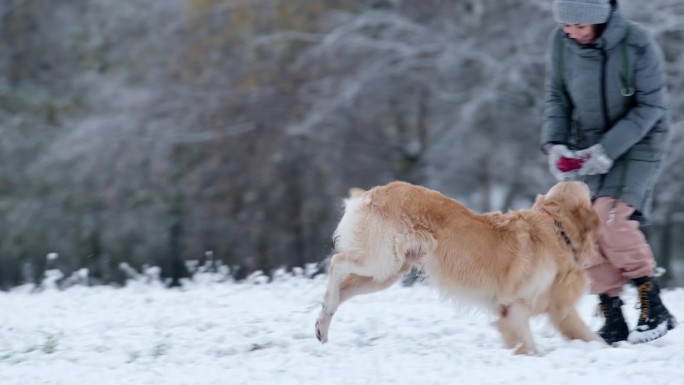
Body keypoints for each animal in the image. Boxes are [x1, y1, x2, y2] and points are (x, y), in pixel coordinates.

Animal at [316, 181, 600, 354]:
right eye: (586, 191)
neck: (557, 229)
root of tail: (371, 193)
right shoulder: (512, 306)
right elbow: (527, 345)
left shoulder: (560, 309)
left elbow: (588, 335)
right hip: (381, 261)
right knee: (336, 263)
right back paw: (327, 305)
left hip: (385, 273)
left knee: (343, 290)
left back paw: (322, 324)